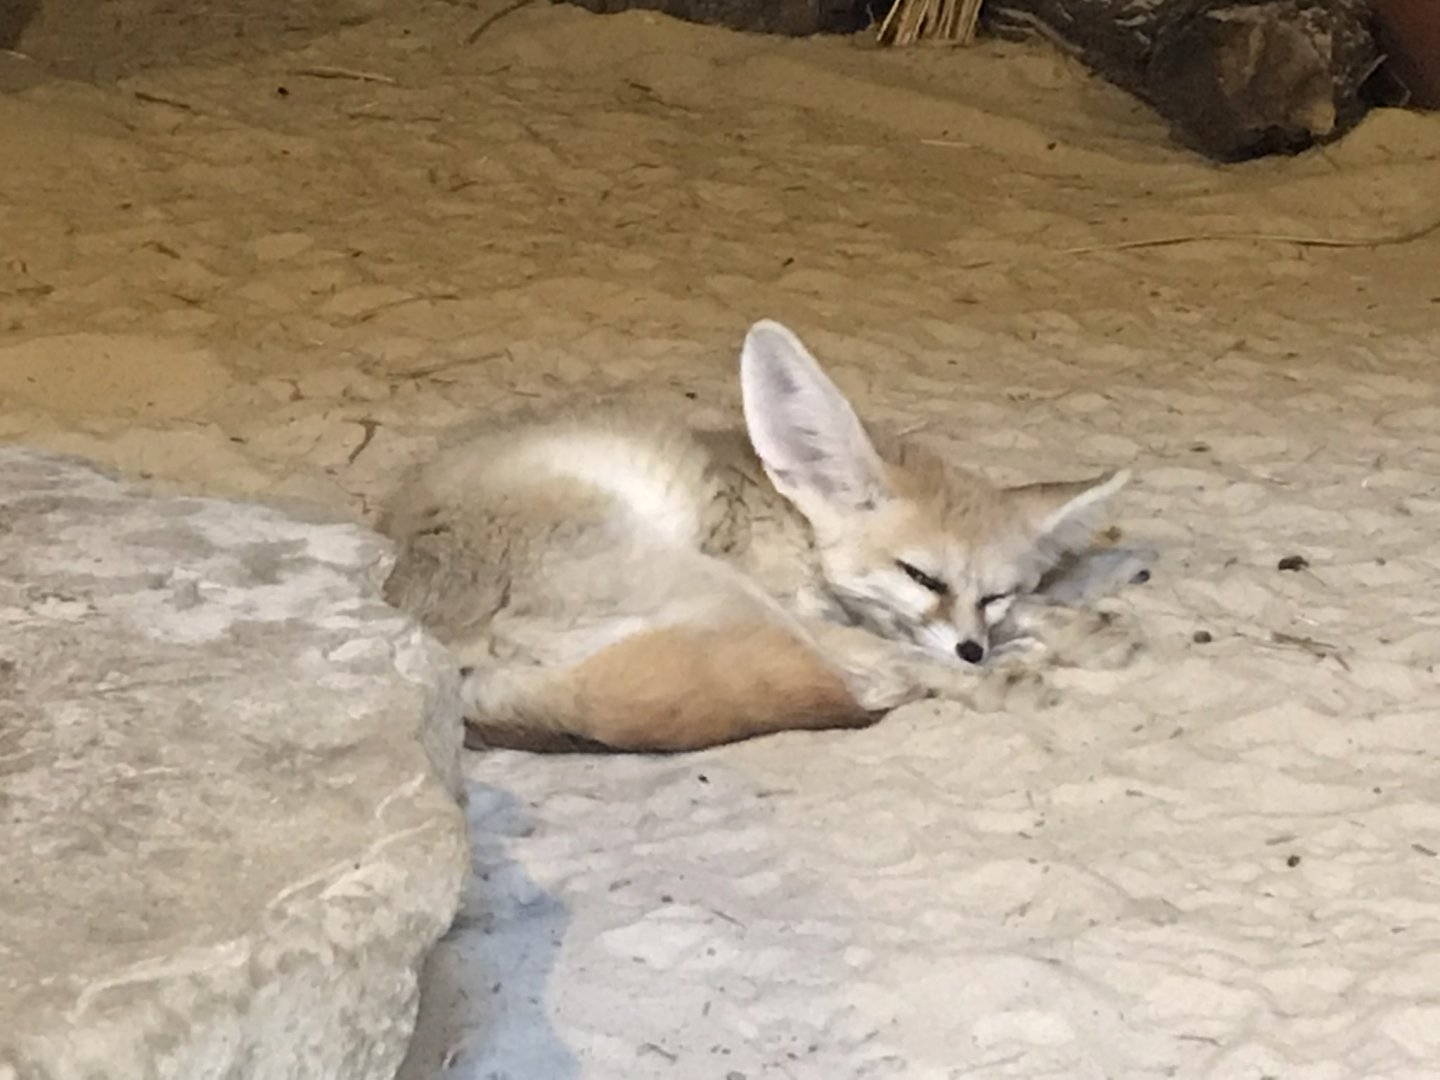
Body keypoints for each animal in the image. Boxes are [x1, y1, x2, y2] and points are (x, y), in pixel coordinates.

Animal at [380, 319, 1147, 754]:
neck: (790, 515)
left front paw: (1072, 623)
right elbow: (892, 652)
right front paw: (1004, 666)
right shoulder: (798, 601)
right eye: (921, 576)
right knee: (858, 678)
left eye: (994, 595)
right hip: (720, 588)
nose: (974, 648)